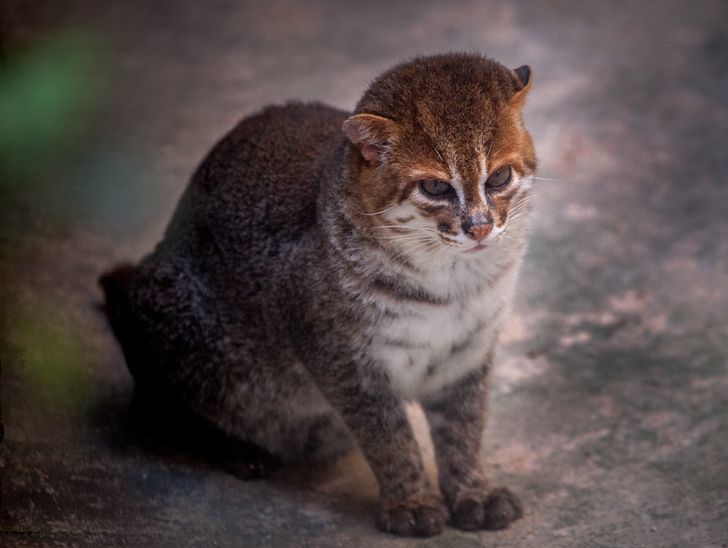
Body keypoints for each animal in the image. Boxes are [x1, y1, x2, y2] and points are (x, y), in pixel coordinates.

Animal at [99, 53, 536, 536]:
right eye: (435, 187)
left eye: (499, 177)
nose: (478, 227)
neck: (453, 288)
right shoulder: (340, 358)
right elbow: (389, 437)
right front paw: (412, 501)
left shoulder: (468, 353)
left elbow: (464, 429)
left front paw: (473, 491)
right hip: (185, 333)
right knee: (154, 410)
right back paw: (238, 449)